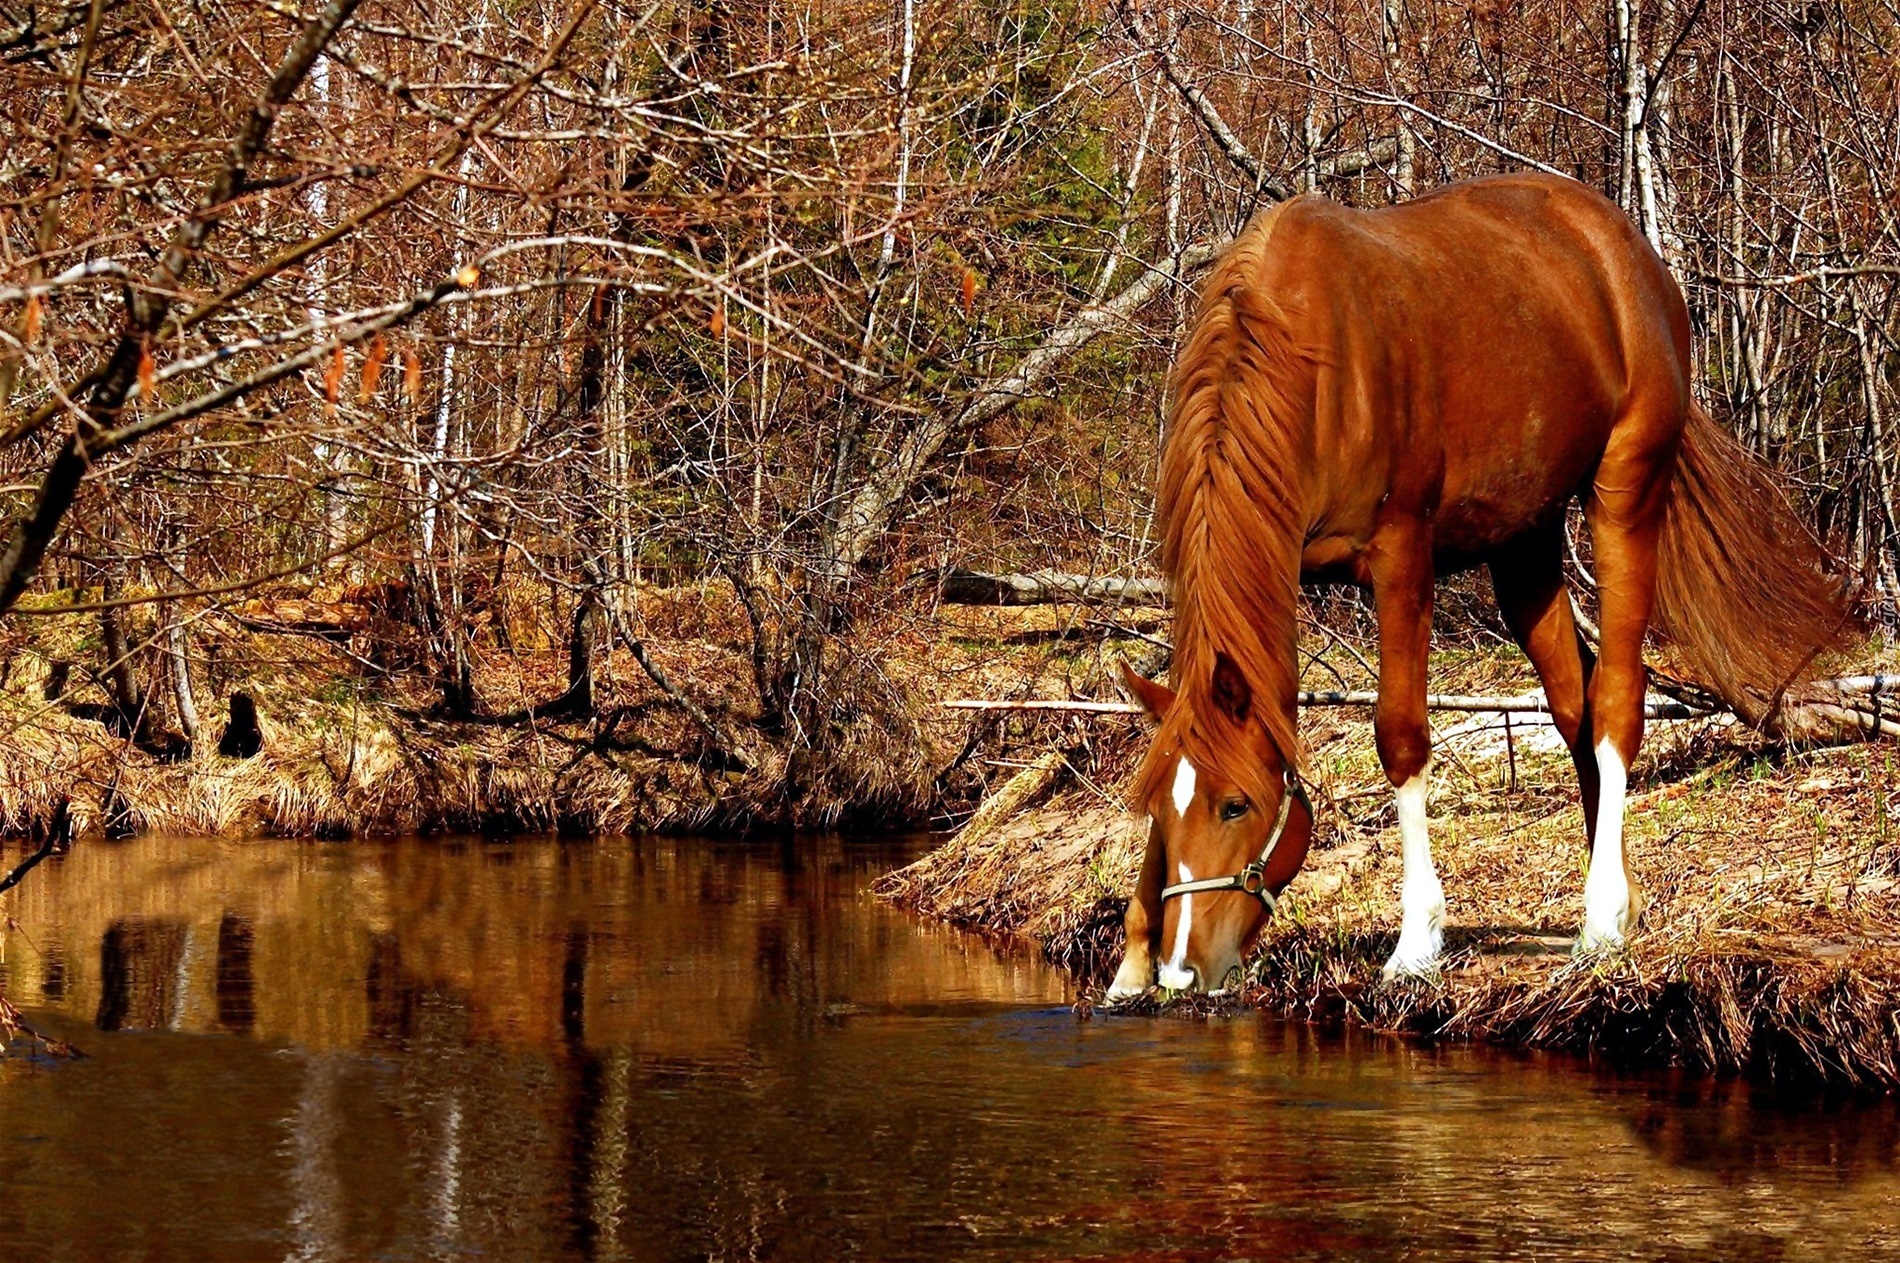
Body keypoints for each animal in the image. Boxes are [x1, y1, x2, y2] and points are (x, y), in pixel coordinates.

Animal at [1109, 169, 1839, 995]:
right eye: (1160, 812)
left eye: (1236, 806)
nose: (1181, 970)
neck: (1312, 359)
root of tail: (1629, 252)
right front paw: (1128, 965)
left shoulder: (1401, 558)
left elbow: (1400, 736)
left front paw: (1416, 941)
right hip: (1524, 540)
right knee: (1575, 704)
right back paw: (1617, 898)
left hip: (1625, 492)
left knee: (1618, 698)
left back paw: (1599, 920)